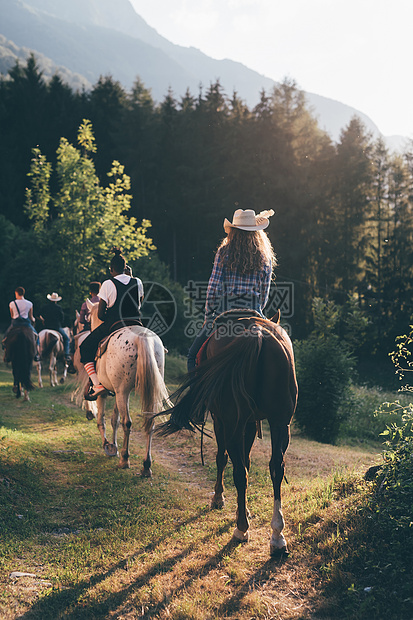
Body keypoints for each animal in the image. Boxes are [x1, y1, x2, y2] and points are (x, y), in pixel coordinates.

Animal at [74, 302, 169, 472]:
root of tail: (141, 336)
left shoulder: (105, 394)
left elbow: (102, 420)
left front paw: (108, 445)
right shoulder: (118, 392)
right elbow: (114, 420)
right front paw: (114, 446)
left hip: (122, 392)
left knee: (127, 422)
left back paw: (125, 460)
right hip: (138, 392)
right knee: (149, 422)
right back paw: (146, 465)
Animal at [154, 312, 296, 556]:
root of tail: (256, 334)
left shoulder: (223, 420)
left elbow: (223, 458)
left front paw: (220, 498)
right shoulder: (249, 423)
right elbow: (247, 461)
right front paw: (244, 509)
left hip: (231, 421)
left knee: (239, 472)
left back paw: (241, 530)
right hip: (280, 421)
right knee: (276, 468)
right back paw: (277, 536)